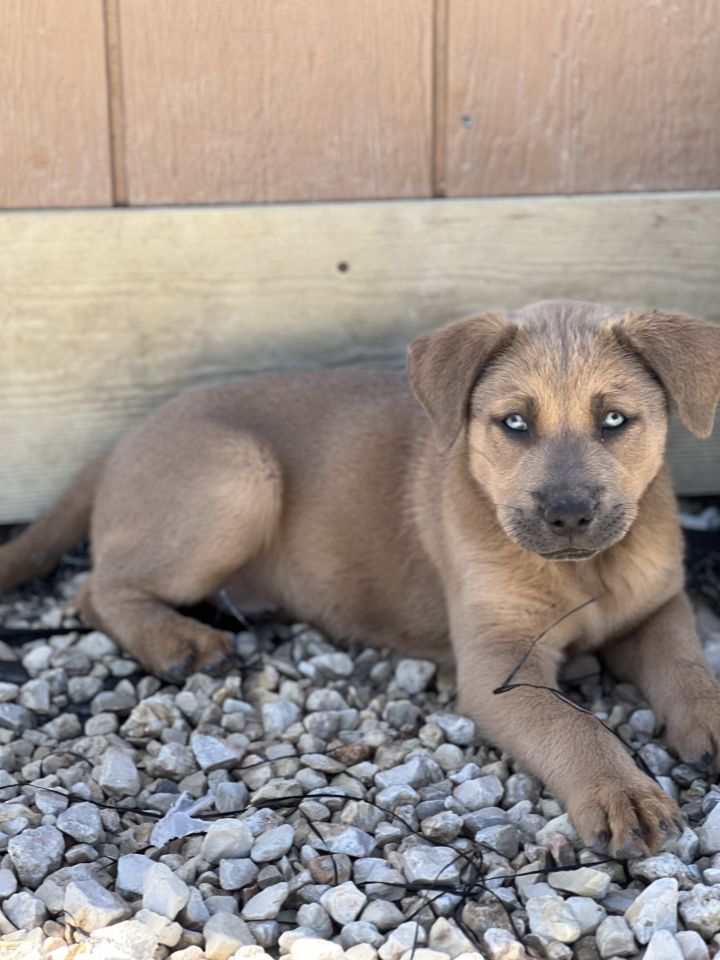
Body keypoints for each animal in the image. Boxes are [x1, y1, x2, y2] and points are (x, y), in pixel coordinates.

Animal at [1, 300, 720, 856]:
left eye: (615, 420)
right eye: (514, 422)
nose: (568, 516)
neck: (586, 574)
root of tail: (119, 444)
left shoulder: (659, 608)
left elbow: (687, 669)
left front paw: (708, 717)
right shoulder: (501, 669)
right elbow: (576, 728)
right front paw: (622, 792)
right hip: (240, 475)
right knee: (94, 589)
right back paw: (179, 642)